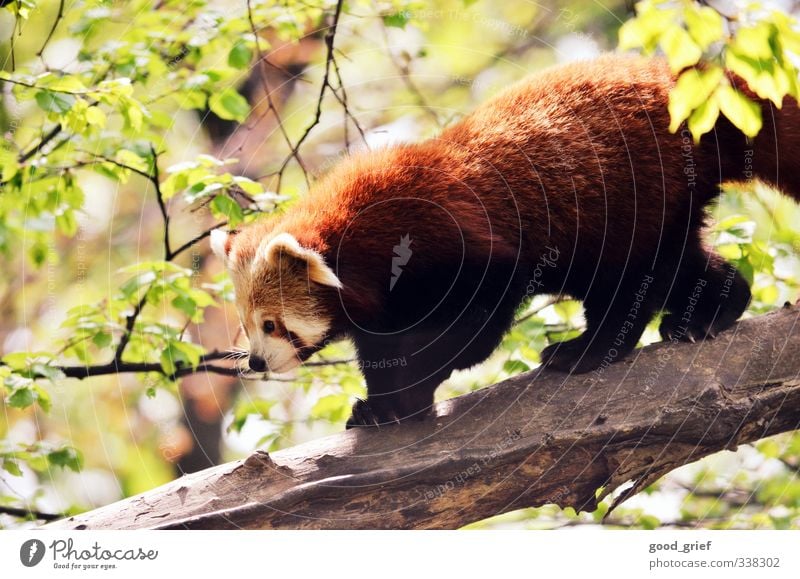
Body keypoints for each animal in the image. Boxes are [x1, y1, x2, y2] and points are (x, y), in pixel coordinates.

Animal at [212, 54, 800, 428]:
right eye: (245, 325)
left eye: (271, 324)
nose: (256, 364)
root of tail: (680, 84)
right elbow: (378, 345)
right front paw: (379, 404)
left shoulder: (454, 247)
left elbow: (473, 327)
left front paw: (409, 393)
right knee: (681, 262)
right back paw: (711, 311)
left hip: (631, 197)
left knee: (628, 280)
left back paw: (587, 349)